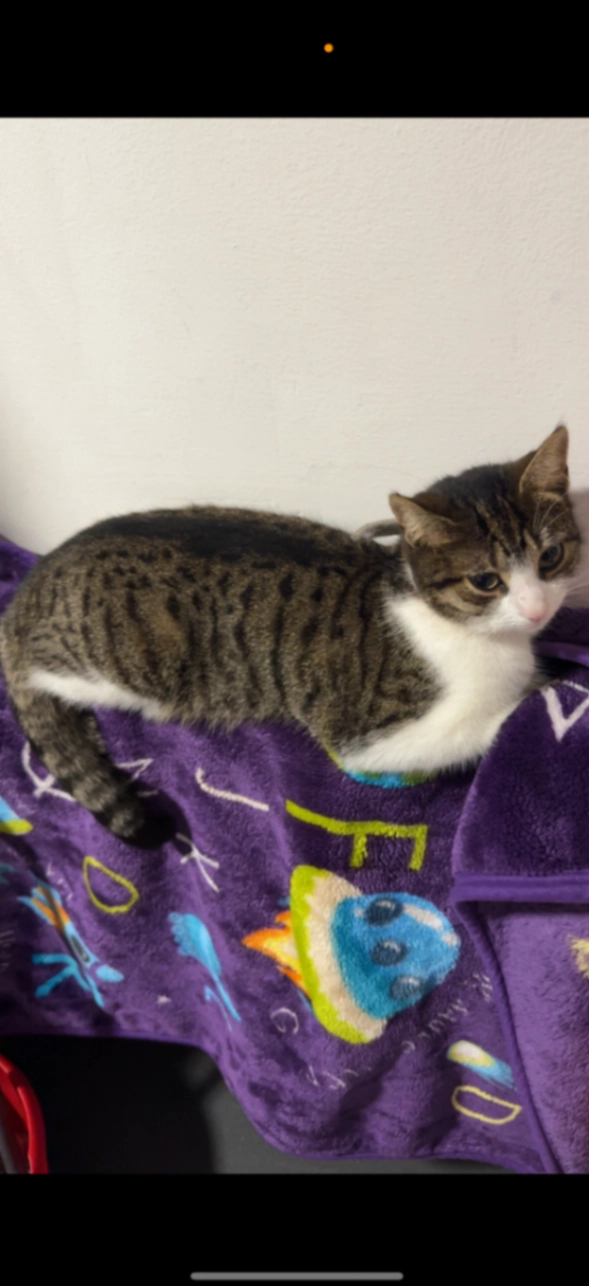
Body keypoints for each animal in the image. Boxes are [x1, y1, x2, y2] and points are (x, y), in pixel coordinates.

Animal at [0, 425, 581, 849]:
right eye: (486, 581)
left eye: (551, 556)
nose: (536, 607)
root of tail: (30, 588)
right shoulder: (367, 737)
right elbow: (491, 724)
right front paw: (544, 700)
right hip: (117, 670)